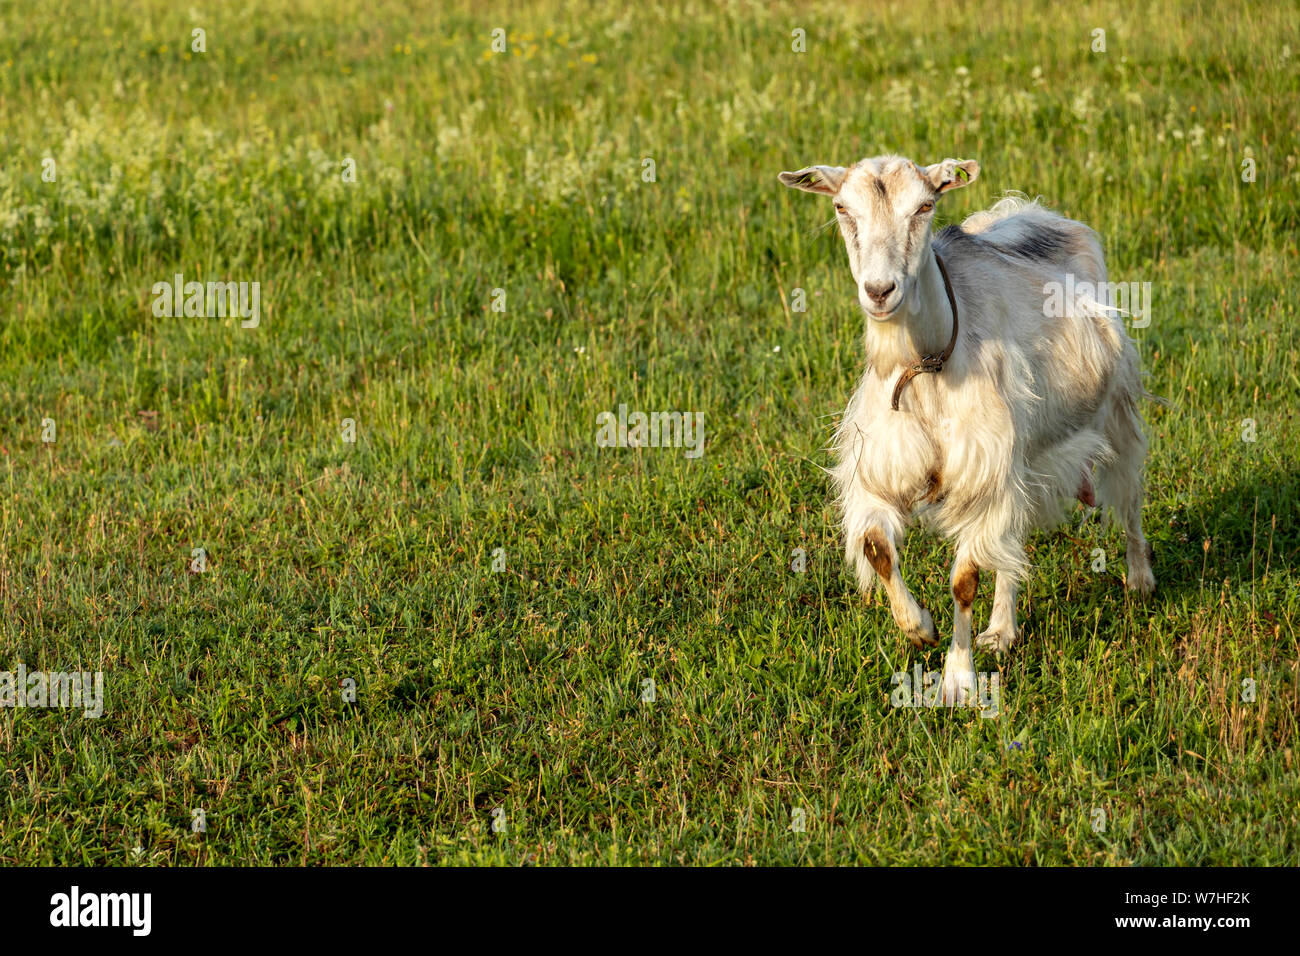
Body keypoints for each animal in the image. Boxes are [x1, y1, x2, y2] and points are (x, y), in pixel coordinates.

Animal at [778, 154, 1154, 704]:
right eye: (842, 208)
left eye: (925, 206)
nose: (879, 291)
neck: (926, 368)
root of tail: (1026, 210)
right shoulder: (881, 471)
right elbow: (877, 548)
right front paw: (919, 628)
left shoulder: (984, 473)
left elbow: (965, 579)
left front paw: (958, 680)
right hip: (1024, 454)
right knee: (1012, 540)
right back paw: (1001, 631)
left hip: (1112, 409)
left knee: (1127, 494)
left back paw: (1140, 578)